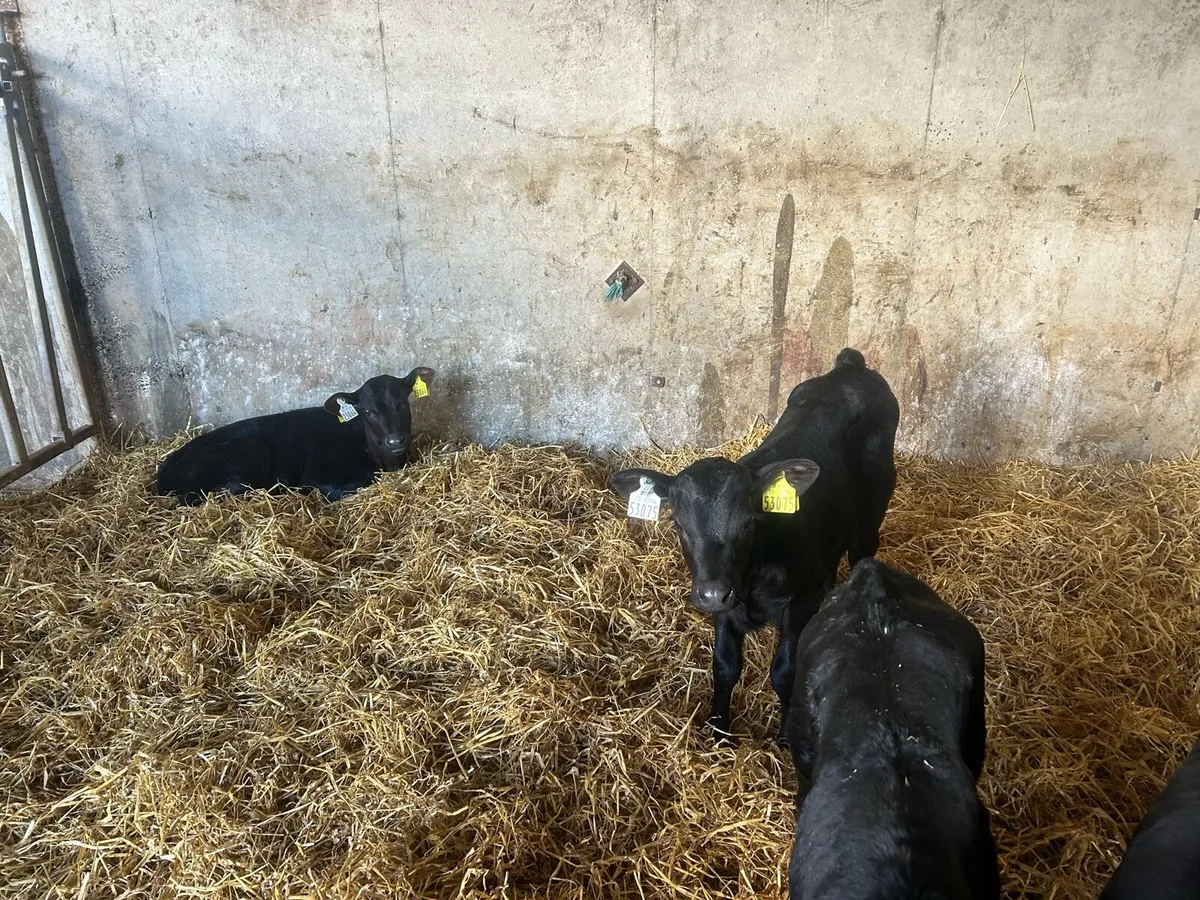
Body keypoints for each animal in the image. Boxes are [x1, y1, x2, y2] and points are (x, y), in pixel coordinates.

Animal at [155, 368, 435, 505]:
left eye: (402, 403)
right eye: (367, 411)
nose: (394, 441)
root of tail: (167, 464)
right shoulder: (316, 474)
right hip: (251, 449)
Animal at [609, 348, 899, 744]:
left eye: (749, 524)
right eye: (678, 524)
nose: (713, 594)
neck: (752, 579)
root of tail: (850, 367)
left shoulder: (804, 598)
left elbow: (785, 670)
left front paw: (787, 736)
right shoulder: (723, 601)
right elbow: (725, 665)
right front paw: (718, 728)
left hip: (872, 512)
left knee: (863, 553)